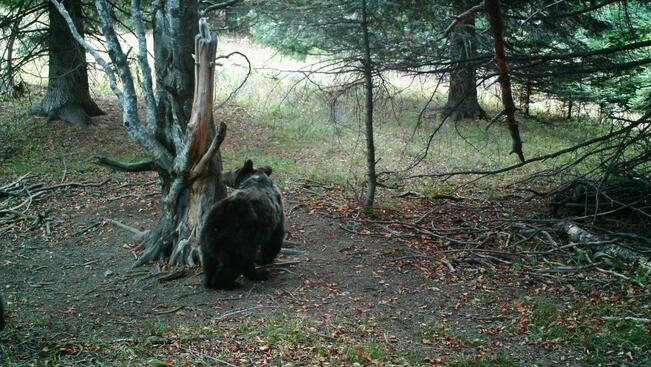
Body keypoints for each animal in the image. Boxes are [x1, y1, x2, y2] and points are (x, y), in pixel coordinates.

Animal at [201, 159, 286, 290]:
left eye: (232, 169)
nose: (220, 172)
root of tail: (216, 226)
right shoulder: (276, 214)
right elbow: (274, 239)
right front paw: (263, 259)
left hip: (205, 239)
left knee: (209, 262)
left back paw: (209, 281)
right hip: (237, 238)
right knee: (236, 263)